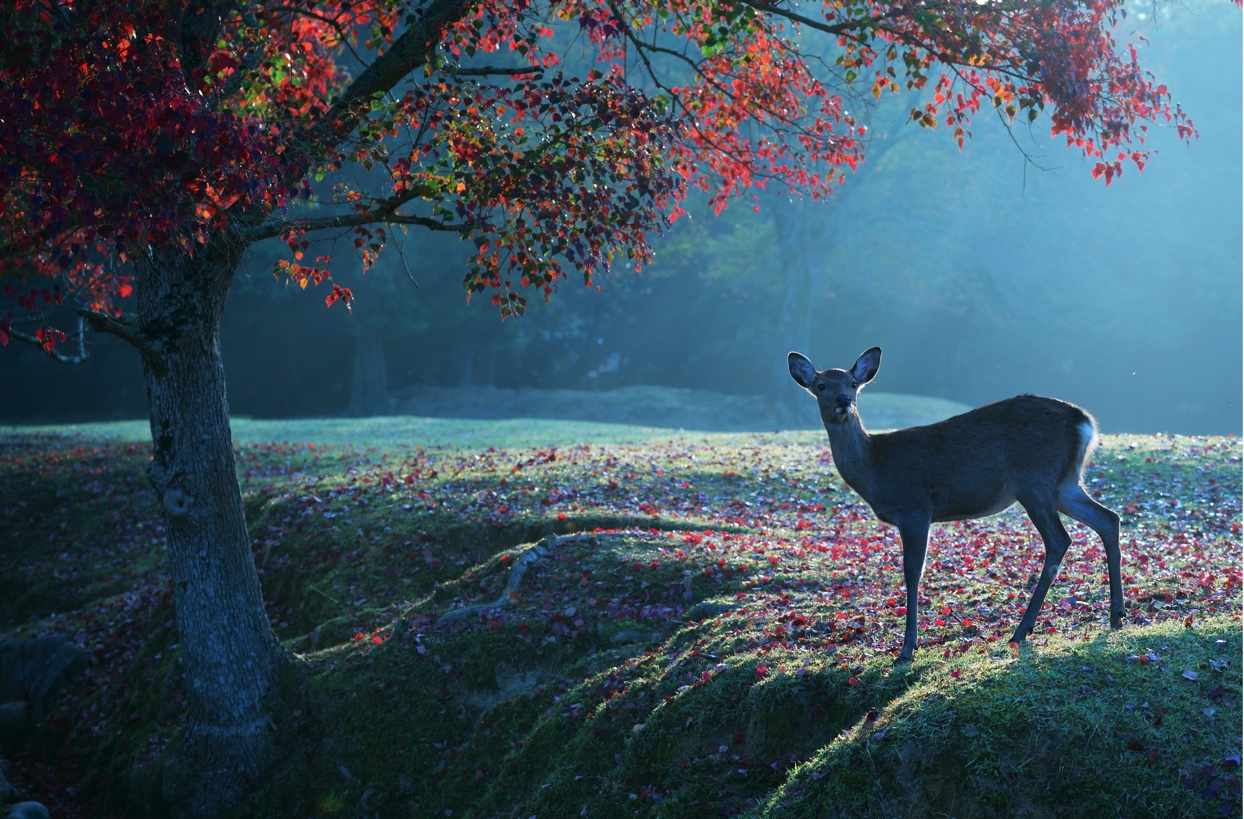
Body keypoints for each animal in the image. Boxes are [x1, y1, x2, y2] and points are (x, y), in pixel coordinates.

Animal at [788, 346, 1123, 663]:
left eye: (853, 383)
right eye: (821, 385)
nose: (844, 399)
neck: (875, 469)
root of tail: (1086, 424)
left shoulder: (915, 508)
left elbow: (912, 572)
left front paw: (907, 648)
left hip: (1034, 481)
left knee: (1060, 539)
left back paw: (1021, 630)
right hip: (1064, 484)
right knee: (1108, 518)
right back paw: (1116, 617)